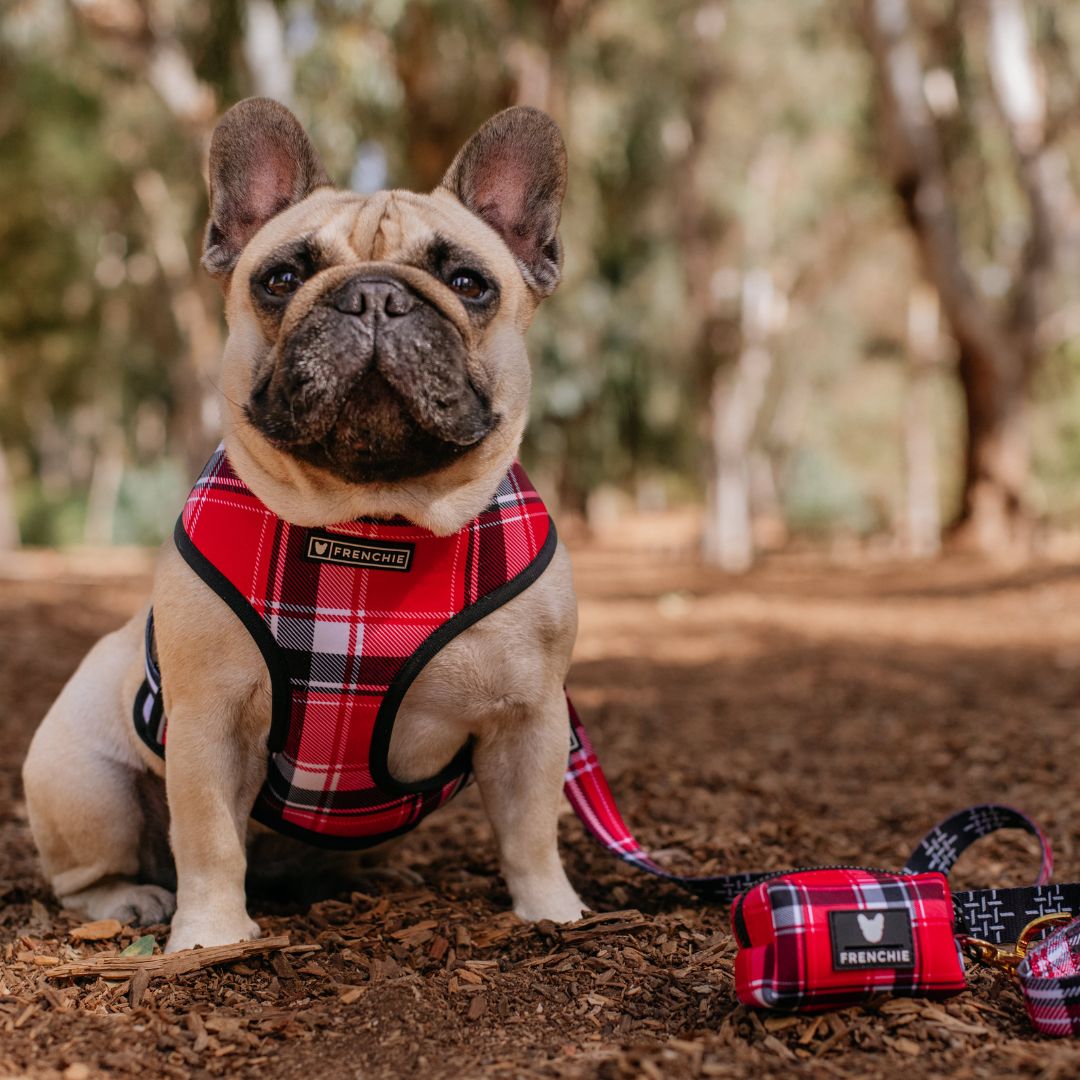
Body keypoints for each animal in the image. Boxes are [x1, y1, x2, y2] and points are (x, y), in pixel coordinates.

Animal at [21, 97, 587, 950]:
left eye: (468, 282)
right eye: (281, 277)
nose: (376, 296)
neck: (374, 524)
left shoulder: (531, 718)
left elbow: (530, 829)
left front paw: (550, 910)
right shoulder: (209, 721)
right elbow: (208, 837)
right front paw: (210, 936)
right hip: (83, 781)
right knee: (90, 874)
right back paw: (133, 901)